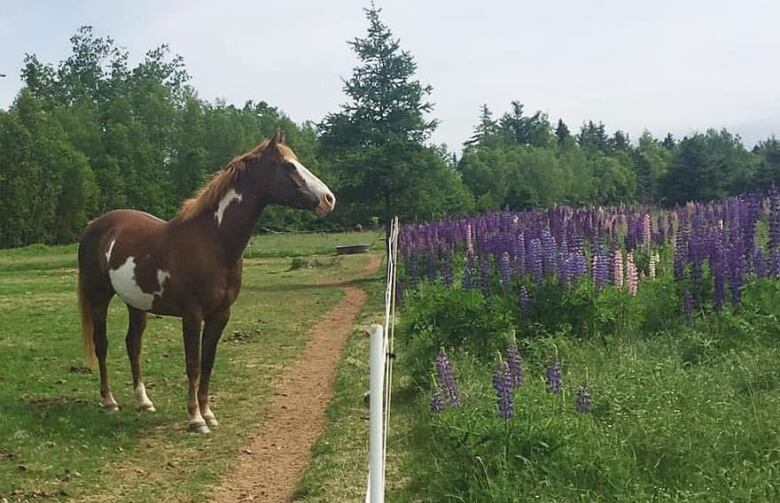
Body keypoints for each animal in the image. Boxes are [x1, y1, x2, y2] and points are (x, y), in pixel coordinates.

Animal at [77, 133, 336, 434]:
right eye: (289, 166)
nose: (328, 199)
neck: (212, 242)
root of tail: (95, 225)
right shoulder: (192, 315)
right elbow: (193, 364)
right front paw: (196, 418)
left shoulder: (220, 315)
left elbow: (208, 363)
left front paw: (208, 413)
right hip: (99, 296)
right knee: (101, 343)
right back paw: (109, 401)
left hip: (136, 303)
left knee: (133, 345)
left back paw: (144, 402)